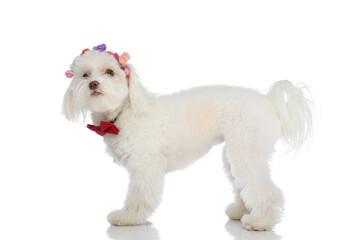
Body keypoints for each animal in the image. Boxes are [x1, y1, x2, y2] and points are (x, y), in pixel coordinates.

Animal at [62, 43, 312, 231]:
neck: (124, 111)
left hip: (247, 149)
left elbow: (139, 196)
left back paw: (261, 221)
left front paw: (127, 217)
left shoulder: (145, 167)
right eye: (84, 75)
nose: (93, 84)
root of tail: (271, 103)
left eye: (110, 72)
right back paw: (240, 211)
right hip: (235, 152)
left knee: (265, 190)